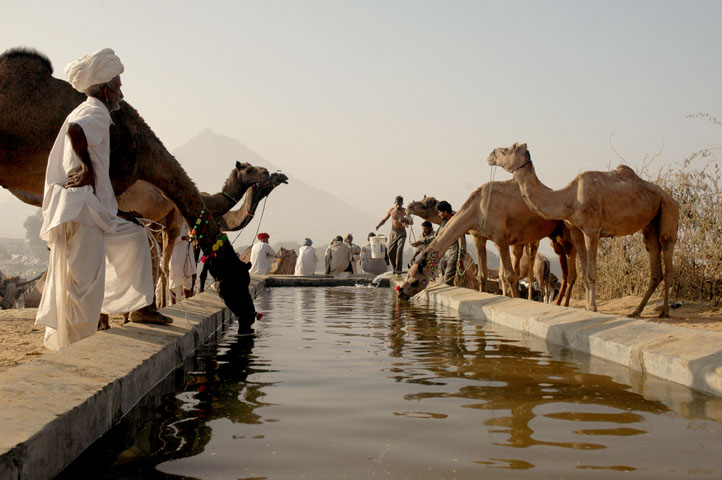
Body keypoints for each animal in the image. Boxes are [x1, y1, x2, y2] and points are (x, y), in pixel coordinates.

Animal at [486, 142, 676, 318]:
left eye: (507, 149)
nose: (490, 154)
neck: (569, 198)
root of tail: (668, 196)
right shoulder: (575, 230)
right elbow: (584, 272)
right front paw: (587, 306)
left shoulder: (592, 230)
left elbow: (591, 272)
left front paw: (592, 307)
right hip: (650, 224)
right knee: (654, 257)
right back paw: (636, 311)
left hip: (668, 208)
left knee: (667, 254)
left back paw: (664, 311)